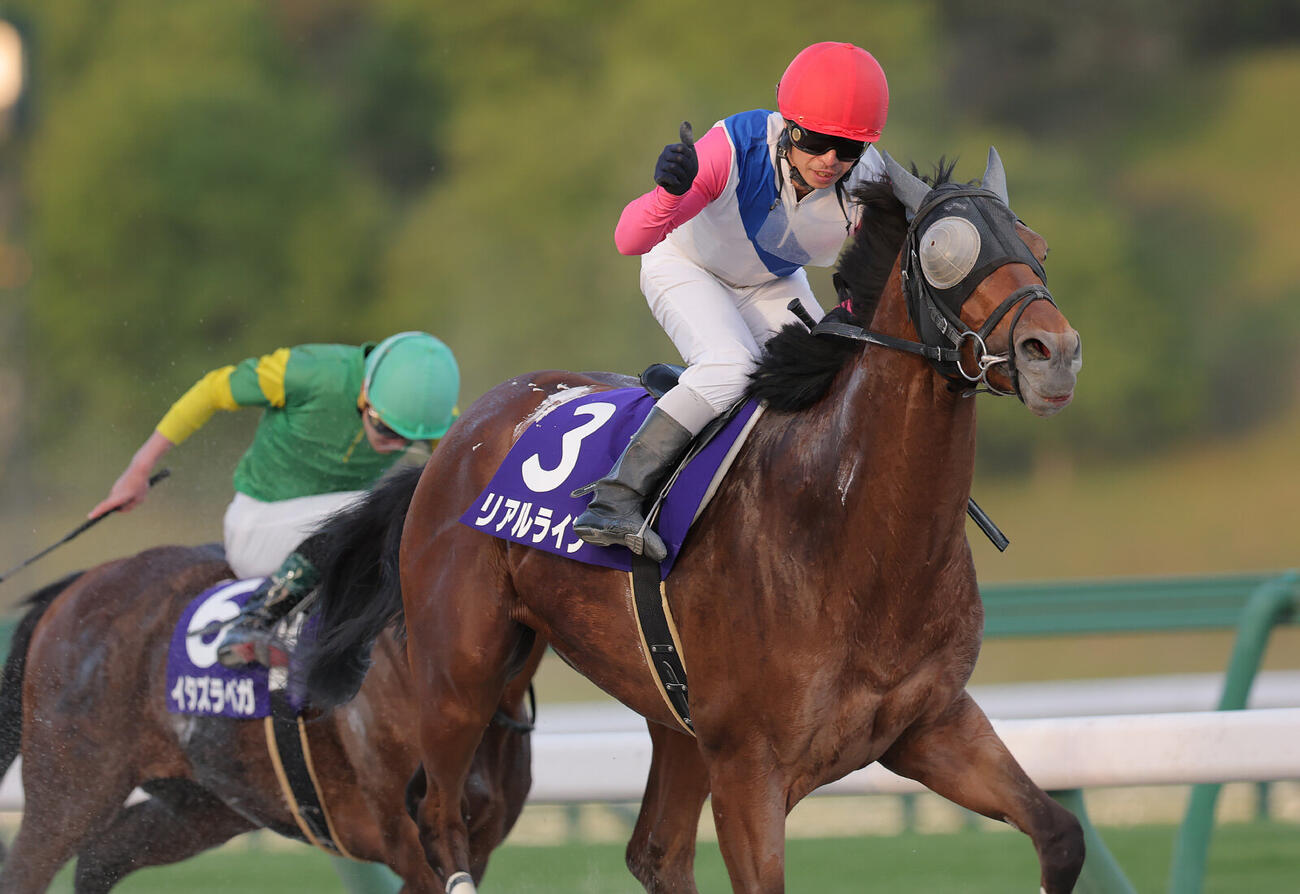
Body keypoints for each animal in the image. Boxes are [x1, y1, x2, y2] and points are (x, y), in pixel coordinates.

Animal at [0, 467, 536, 893]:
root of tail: (77, 585)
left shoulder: (473, 850)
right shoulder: (413, 844)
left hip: (202, 805)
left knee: (99, 860)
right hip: (70, 789)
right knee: (28, 868)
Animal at [302, 148, 1086, 893]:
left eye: (1037, 245)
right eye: (947, 253)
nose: (1054, 353)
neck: (847, 526)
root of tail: (461, 435)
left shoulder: (930, 725)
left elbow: (1061, 835)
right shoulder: (750, 766)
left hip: (663, 713)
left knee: (654, 854)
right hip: (460, 672)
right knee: (438, 819)